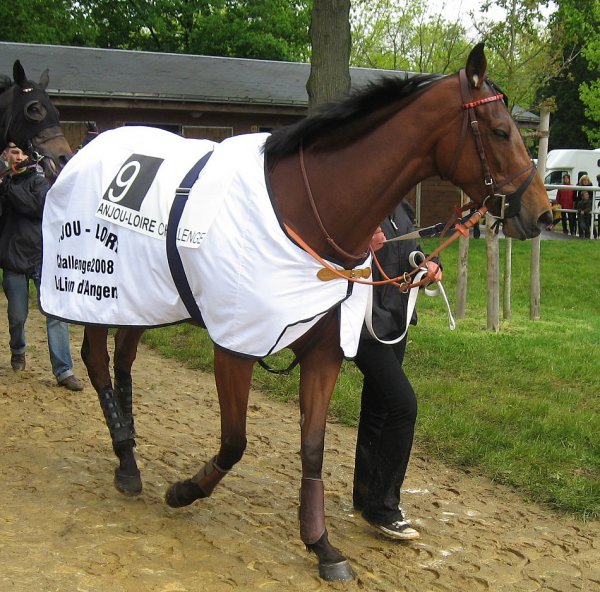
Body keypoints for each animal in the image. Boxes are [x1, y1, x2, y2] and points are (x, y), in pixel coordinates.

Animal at [39, 44, 552, 580]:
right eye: (500, 131)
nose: (542, 212)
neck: (306, 211)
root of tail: (83, 151)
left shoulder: (325, 352)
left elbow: (313, 448)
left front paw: (321, 545)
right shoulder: (236, 345)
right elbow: (235, 441)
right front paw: (184, 491)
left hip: (143, 297)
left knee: (124, 359)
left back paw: (130, 436)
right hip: (95, 292)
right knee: (97, 361)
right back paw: (126, 460)